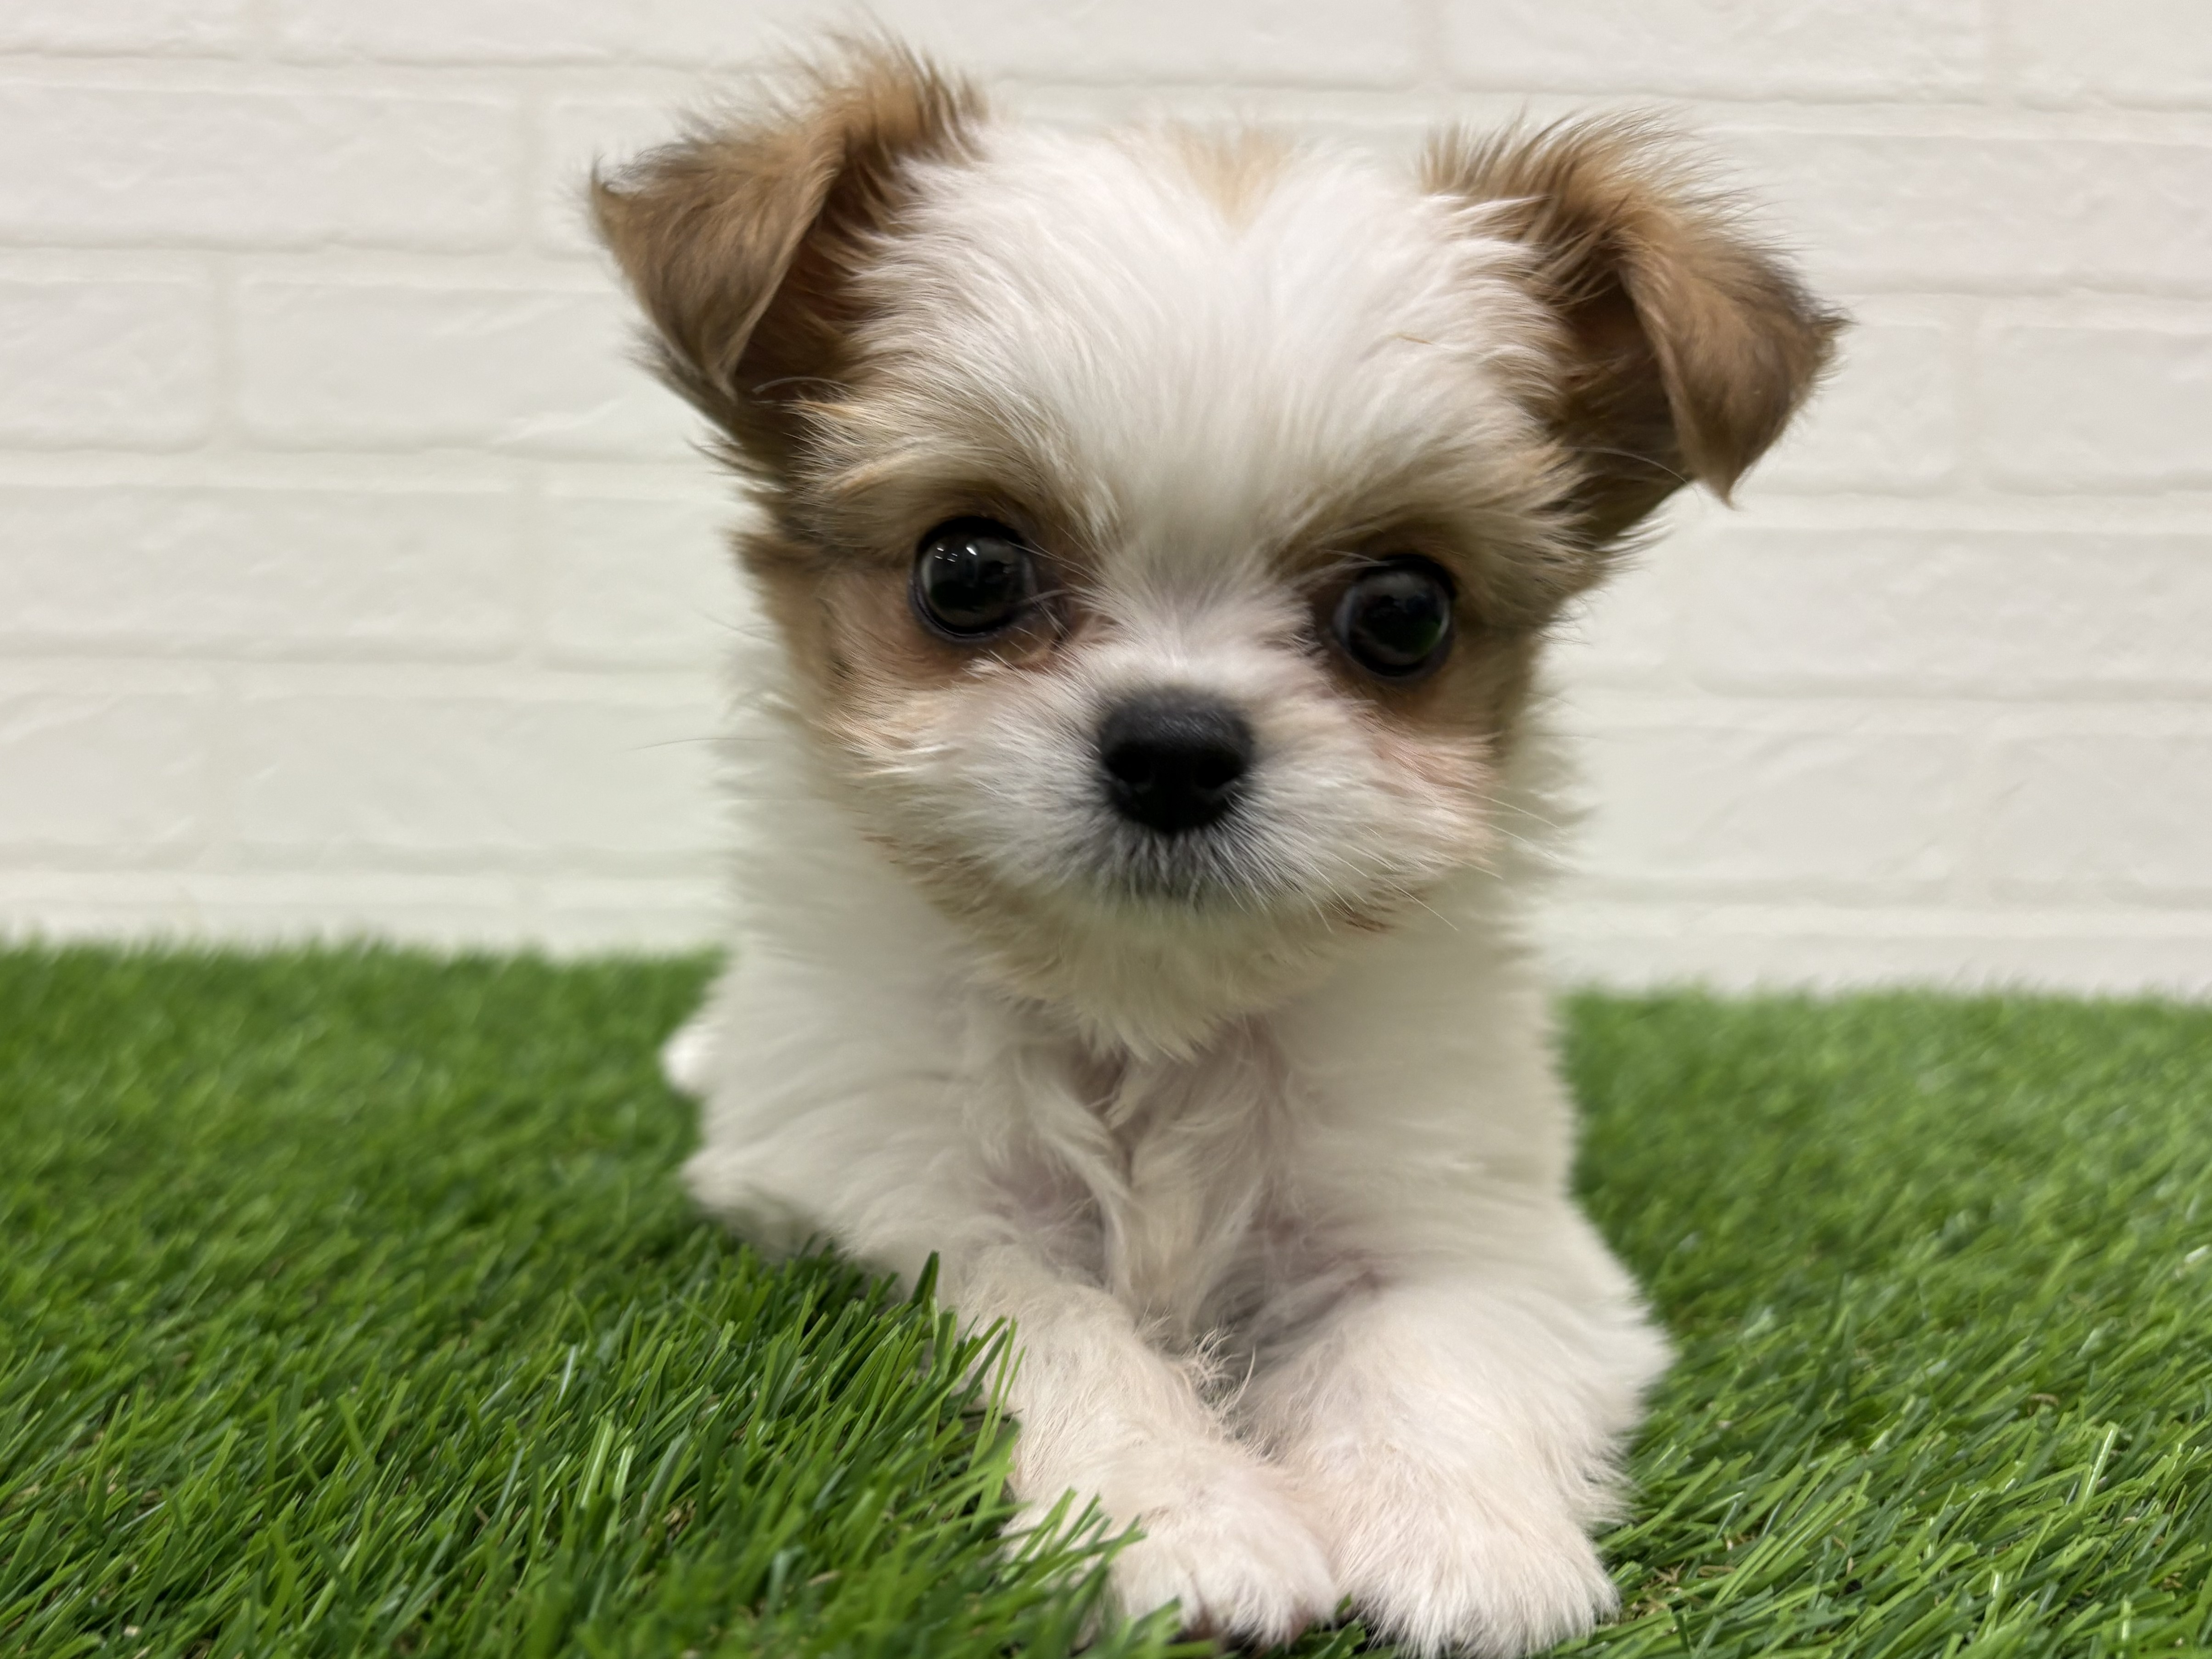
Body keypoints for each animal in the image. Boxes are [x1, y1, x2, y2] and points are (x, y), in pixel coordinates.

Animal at [594, 40, 1838, 1656]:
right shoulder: (885, 1203)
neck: (1149, 1009)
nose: (1176, 744)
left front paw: (1462, 1536)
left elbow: (1429, 1333)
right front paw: (1175, 1516)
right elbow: (1047, 1316)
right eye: (966, 570)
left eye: (1404, 612)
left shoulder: (1474, 1216)